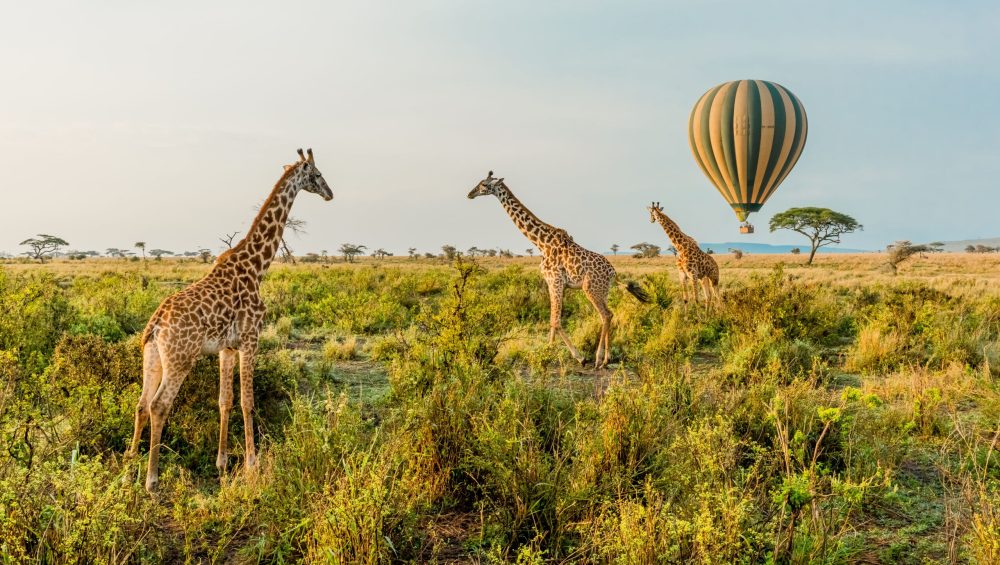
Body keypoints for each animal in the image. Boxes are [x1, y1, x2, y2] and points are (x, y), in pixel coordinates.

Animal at [125, 148, 334, 492]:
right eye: (317, 174)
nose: (330, 193)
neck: (257, 267)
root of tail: (155, 325)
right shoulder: (251, 339)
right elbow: (248, 401)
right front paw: (252, 465)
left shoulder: (226, 347)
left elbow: (225, 400)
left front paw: (222, 464)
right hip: (180, 359)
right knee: (158, 405)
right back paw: (151, 481)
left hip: (152, 356)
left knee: (141, 404)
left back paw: (130, 465)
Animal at [468, 170, 648, 368]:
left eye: (484, 185)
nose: (470, 194)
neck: (540, 242)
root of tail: (613, 273)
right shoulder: (555, 283)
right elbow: (552, 320)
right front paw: (548, 350)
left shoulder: (555, 280)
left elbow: (556, 320)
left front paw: (578, 357)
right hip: (603, 291)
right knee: (608, 315)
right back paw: (607, 359)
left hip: (590, 288)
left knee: (606, 315)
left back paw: (598, 358)